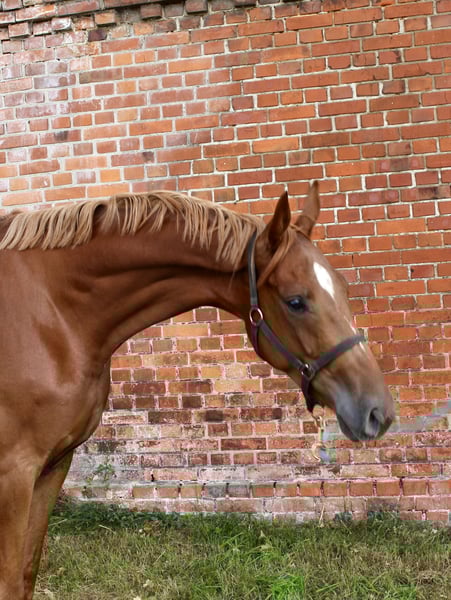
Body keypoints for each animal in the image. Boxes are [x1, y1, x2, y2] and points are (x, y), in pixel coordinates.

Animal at [0, 182, 394, 599]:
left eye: (343, 289)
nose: (378, 412)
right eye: (296, 301)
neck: (54, 313)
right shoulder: (15, 473)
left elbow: (26, 574)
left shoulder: (54, 466)